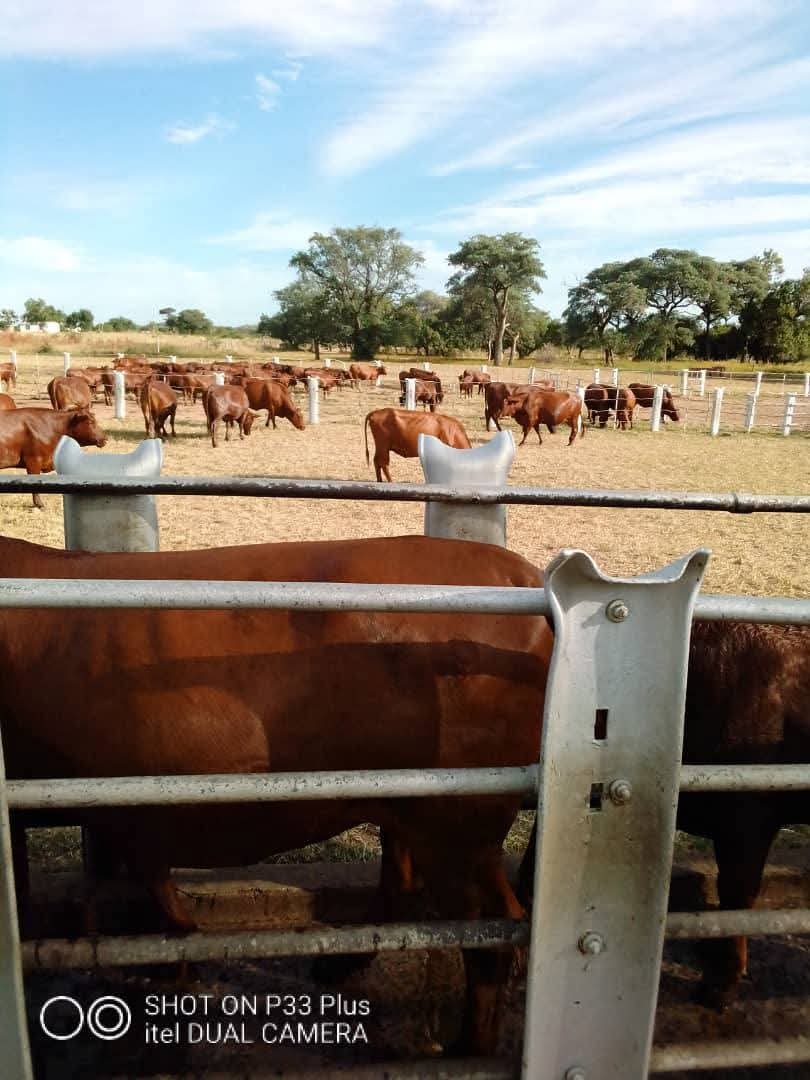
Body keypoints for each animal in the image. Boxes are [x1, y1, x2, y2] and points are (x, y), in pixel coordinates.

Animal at [0, 532, 554, 1056]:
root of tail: (523, 576)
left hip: (461, 815)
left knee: (492, 928)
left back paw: (467, 1050)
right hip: (415, 805)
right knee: (406, 882)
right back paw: (338, 968)